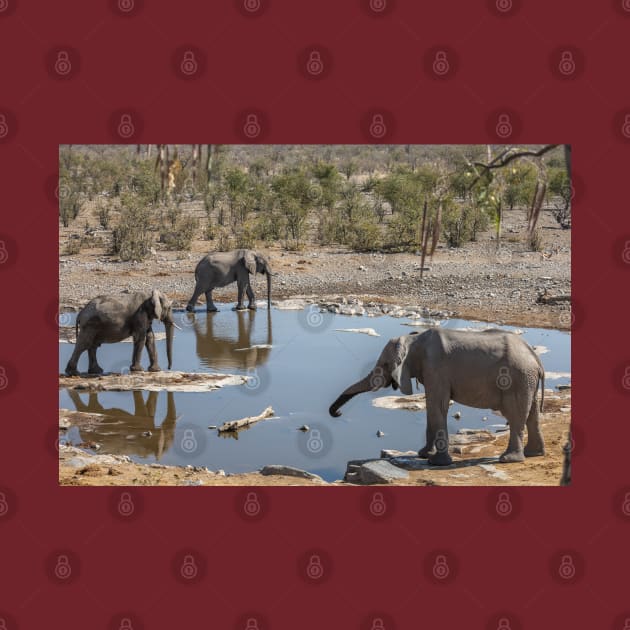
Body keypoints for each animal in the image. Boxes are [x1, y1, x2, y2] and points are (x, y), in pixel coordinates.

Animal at [328, 328, 544, 466]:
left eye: (386, 364)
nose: (337, 413)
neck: (414, 339)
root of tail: (534, 357)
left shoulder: (436, 369)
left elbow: (436, 406)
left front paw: (436, 463)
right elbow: (431, 407)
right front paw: (423, 455)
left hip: (517, 377)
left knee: (516, 415)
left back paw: (509, 459)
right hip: (527, 379)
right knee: (532, 414)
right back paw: (534, 454)